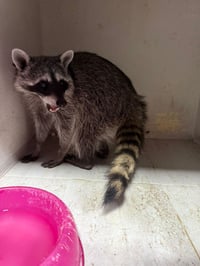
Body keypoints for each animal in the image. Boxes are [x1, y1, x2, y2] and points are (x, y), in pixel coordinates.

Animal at [12, 48, 147, 205]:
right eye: (43, 84)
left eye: (62, 83)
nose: (61, 103)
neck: (43, 100)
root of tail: (132, 99)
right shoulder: (35, 101)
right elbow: (41, 123)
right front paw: (37, 146)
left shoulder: (71, 102)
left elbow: (68, 127)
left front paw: (61, 151)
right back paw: (102, 146)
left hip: (104, 104)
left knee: (84, 129)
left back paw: (85, 160)